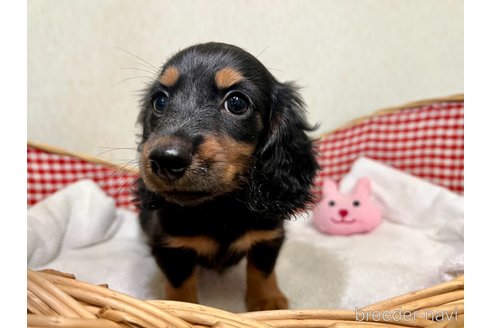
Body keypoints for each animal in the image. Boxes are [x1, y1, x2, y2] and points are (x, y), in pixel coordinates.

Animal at [135, 42, 320, 312]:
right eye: (159, 101)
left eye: (236, 103)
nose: (166, 159)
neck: (221, 208)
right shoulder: (170, 247)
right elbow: (180, 284)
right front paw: (181, 308)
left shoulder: (269, 236)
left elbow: (262, 270)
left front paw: (266, 301)